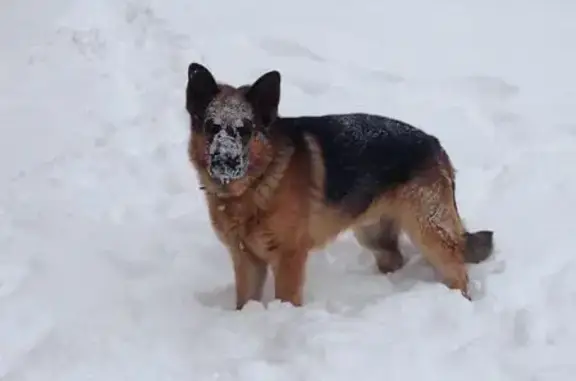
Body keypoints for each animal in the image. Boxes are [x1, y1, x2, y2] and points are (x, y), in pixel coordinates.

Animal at [187, 61, 492, 308]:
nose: (225, 161)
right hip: (374, 234)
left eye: (245, 130)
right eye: (212, 127)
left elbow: (286, 299)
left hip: (428, 232)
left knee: (458, 272)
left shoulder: (288, 260)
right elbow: (245, 302)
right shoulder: (247, 261)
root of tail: (435, 144)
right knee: (395, 258)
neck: (254, 186)